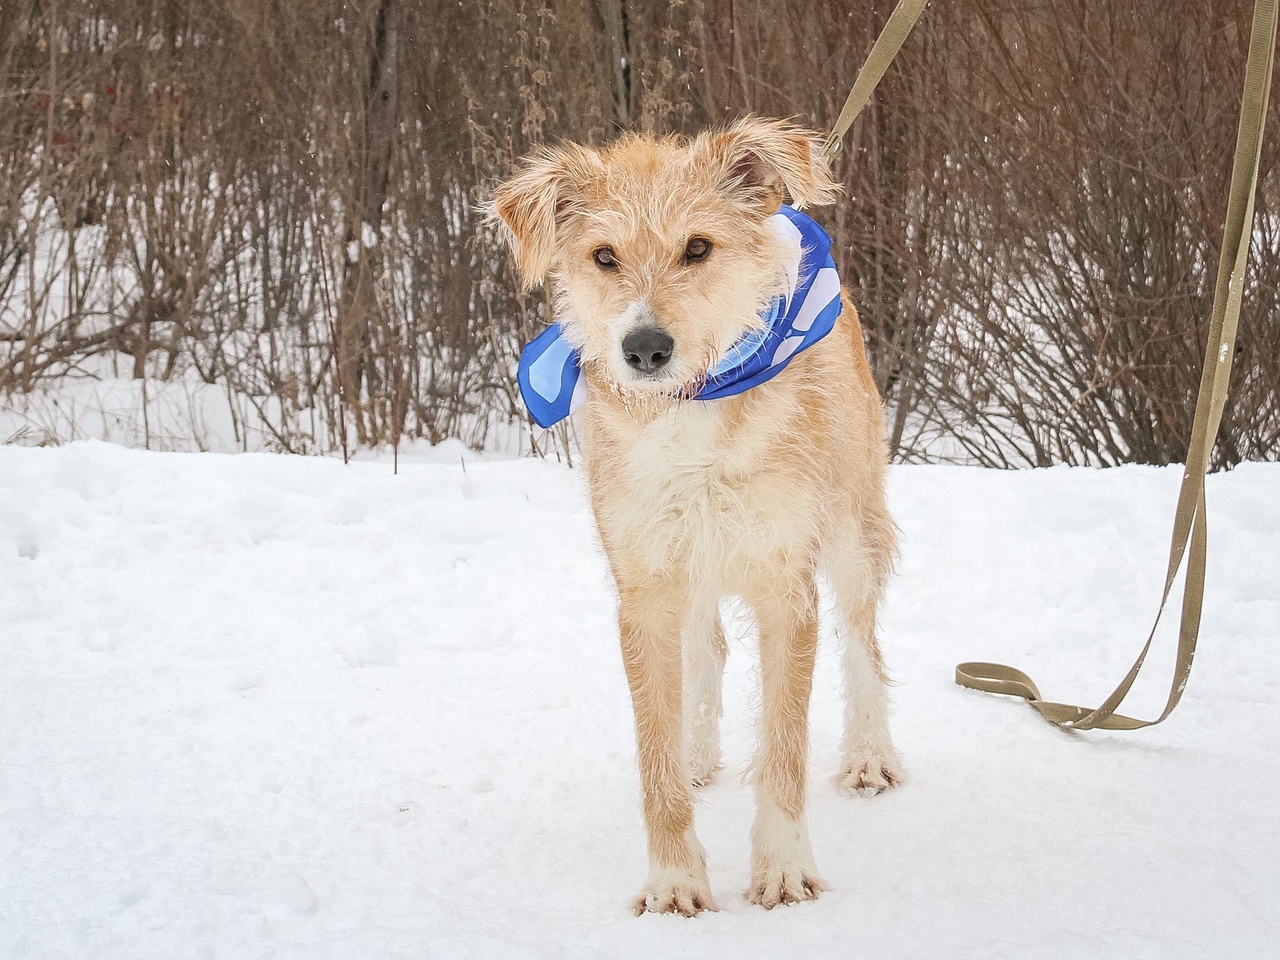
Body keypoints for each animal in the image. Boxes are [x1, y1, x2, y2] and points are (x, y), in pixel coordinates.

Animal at [488, 114, 901, 916]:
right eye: (604, 256)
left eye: (699, 248)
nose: (645, 348)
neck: (694, 407)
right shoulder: (645, 591)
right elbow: (655, 753)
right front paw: (675, 878)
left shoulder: (786, 589)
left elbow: (784, 749)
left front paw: (783, 869)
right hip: (694, 565)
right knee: (705, 649)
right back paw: (699, 753)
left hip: (852, 532)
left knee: (863, 643)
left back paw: (870, 757)